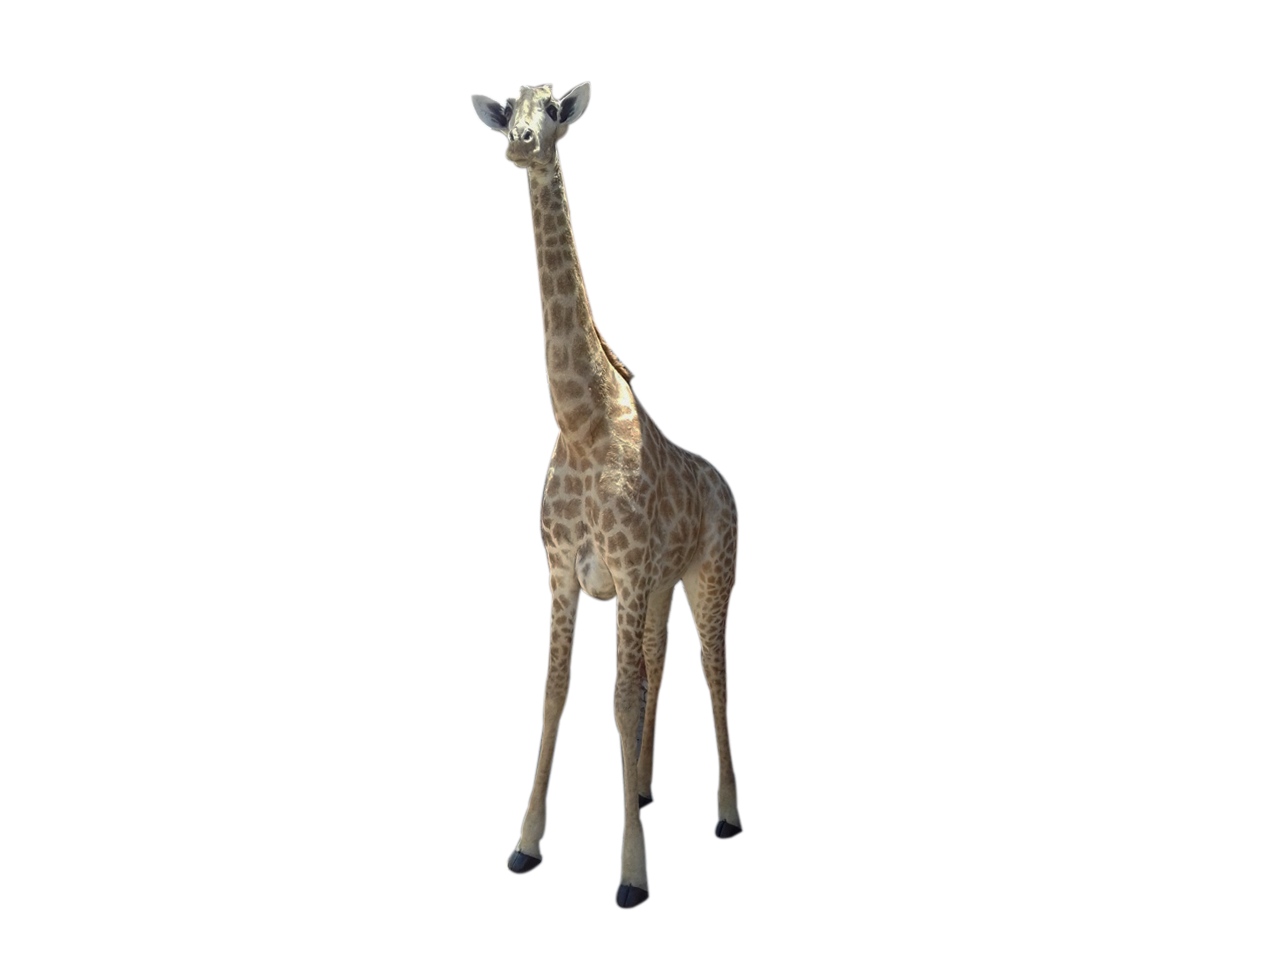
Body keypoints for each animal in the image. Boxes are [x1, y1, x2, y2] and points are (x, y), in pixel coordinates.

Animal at [469, 81, 742, 910]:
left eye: (553, 112)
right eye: (509, 108)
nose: (519, 143)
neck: (580, 420)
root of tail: (725, 482)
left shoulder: (619, 569)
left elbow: (616, 700)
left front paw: (632, 873)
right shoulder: (564, 570)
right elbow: (556, 692)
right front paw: (526, 845)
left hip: (711, 577)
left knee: (713, 673)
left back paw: (726, 814)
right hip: (657, 588)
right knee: (658, 663)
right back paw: (646, 789)